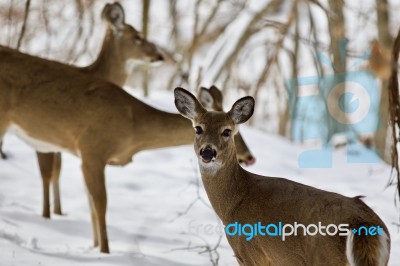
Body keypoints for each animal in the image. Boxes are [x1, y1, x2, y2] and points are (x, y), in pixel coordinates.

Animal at [173, 88, 390, 266]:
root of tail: (364, 224)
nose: (207, 152)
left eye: (227, 131)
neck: (236, 201)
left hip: (326, 258)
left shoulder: (252, 253)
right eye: (198, 128)